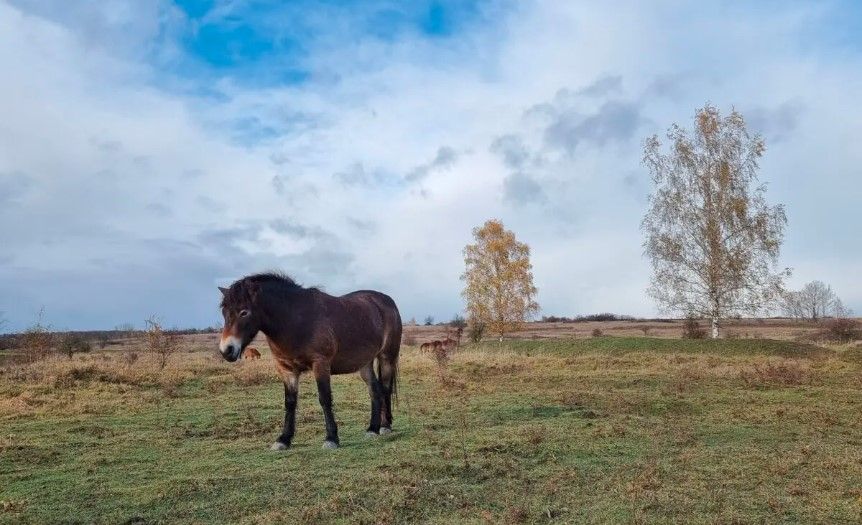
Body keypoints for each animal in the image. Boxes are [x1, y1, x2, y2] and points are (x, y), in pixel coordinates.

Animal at [219, 272, 402, 448]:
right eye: (224, 312)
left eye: (244, 312)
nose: (226, 350)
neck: (295, 320)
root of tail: (386, 301)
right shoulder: (286, 369)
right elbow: (290, 402)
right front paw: (284, 439)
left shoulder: (320, 364)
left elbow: (325, 398)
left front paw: (331, 438)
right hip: (364, 363)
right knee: (374, 390)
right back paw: (372, 428)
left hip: (387, 357)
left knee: (385, 388)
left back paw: (385, 426)